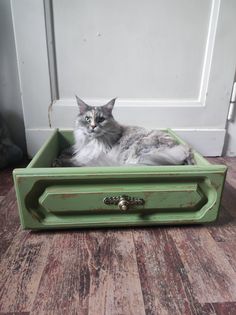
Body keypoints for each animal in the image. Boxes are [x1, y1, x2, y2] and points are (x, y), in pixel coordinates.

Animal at [53, 97, 194, 168]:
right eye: (87, 119)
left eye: (101, 119)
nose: (93, 126)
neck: (92, 141)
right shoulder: (80, 149)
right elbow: (68, 151)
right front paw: (61, 156)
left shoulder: (92, 157)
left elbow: (77, 161)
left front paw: (59, 161)